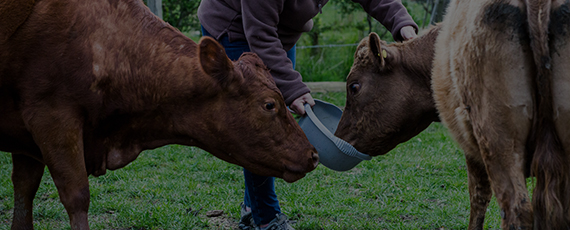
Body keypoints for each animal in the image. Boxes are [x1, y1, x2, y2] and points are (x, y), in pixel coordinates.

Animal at [0, 0, 318, 229]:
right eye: (269, 105)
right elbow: (76, 197)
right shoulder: (52, 118)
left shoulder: (28, 140)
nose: (313, 155)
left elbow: (24, 190)